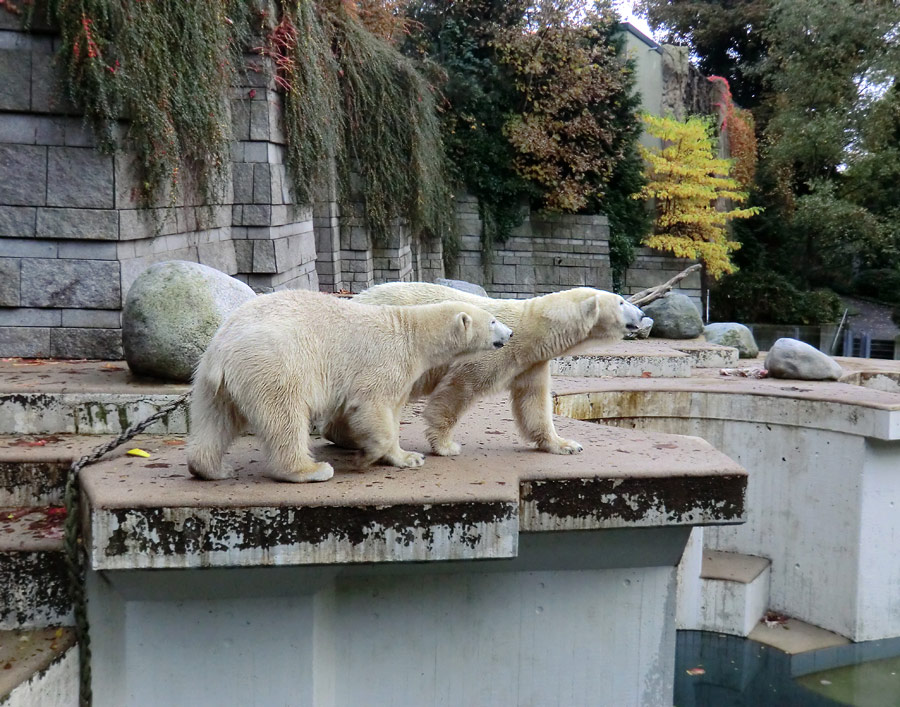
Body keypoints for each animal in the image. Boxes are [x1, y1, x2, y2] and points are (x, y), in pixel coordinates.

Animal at [188, 290, 512, 484]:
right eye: (493, 321)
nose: (509, 333)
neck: (410, 331)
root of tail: (224, 345)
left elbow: (392, 412)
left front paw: (407, 457)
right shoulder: (386, 360)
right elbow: (373, 405)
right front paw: (366, 457)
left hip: (211, 380)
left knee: (215, 420)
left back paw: (212, 469)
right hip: (275, 363)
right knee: (284, 417)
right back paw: (311, 469)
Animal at [354, 284, 648, 456]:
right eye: (621, 302)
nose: (643, 314)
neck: (531, 328)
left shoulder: (531, 363)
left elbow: (533, 402)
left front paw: (565, 444)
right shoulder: (493, 351)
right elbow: (458, 389)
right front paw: (445, 445)